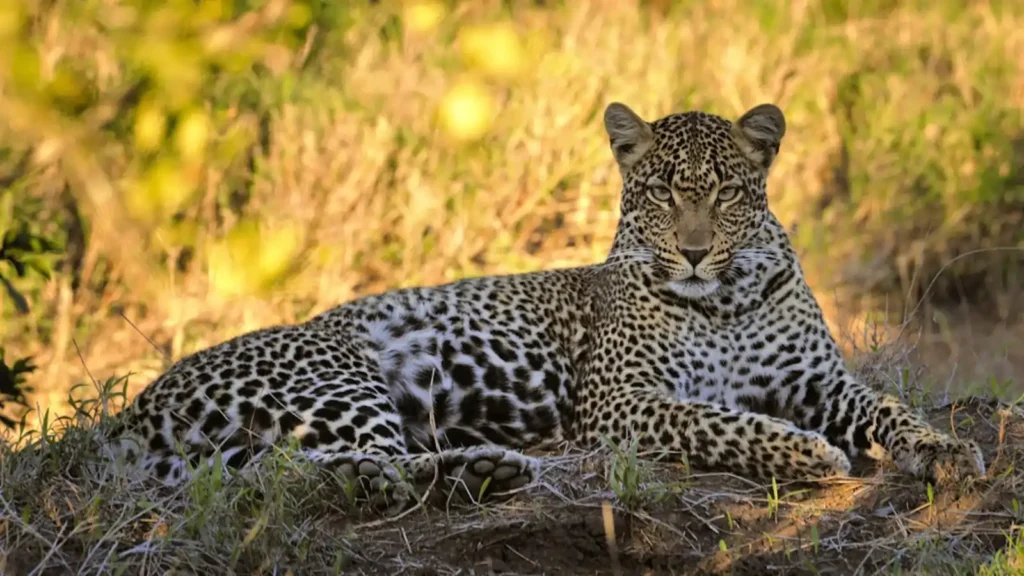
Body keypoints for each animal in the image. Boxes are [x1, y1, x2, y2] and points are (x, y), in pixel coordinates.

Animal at [106, 101, 986, 507]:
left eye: (727, 193)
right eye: (660, 192)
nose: (694, 251)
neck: (725, 298)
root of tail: (128, 413)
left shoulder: (820, 380)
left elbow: (890, 410)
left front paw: (946, 450)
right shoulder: (620, 399)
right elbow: (718, 421)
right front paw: (806, 454)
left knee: (286, 475)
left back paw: (483, 468)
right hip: (341, 374)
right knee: (333, 469)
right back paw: (482, 467)